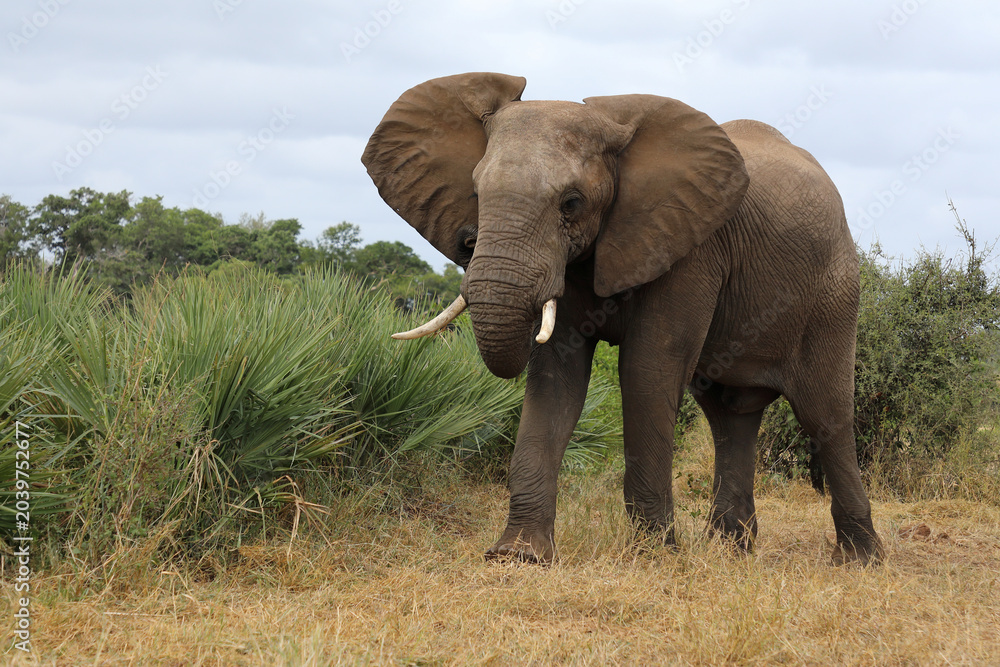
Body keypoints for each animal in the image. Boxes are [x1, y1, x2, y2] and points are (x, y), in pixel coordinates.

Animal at [361, 72, 883, 566]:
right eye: (474, 192)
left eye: (572, 203)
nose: (468, 241)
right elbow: (557, 378)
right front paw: (519, 556)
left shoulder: (689, 248)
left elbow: (647, 372)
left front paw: (655, 557)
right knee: (729, 415)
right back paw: (730, 552)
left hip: (833, 292)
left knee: (825, 413)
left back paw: (859, 561)